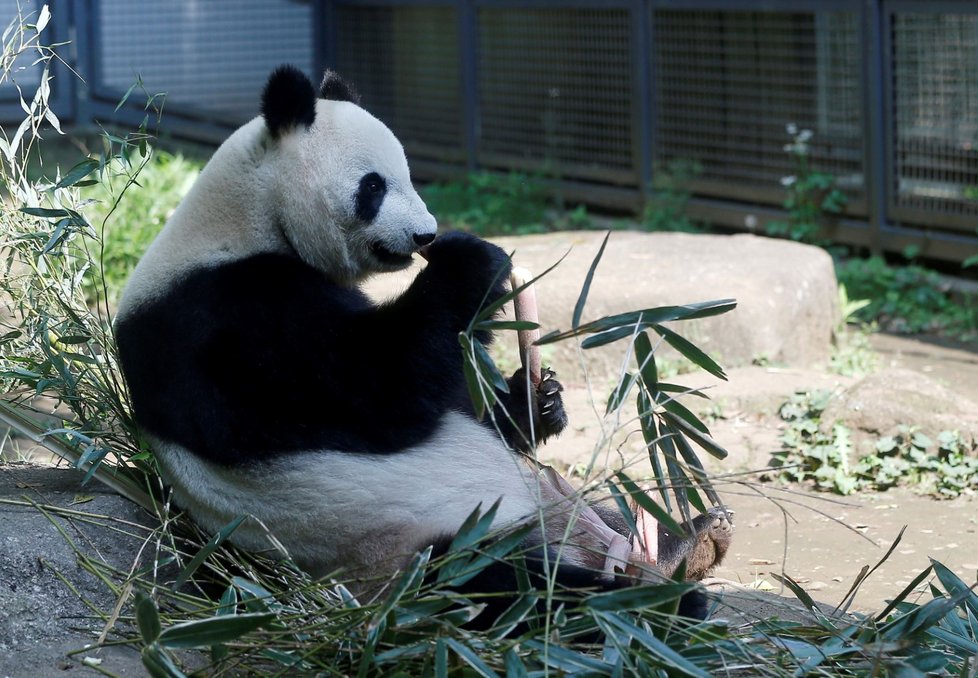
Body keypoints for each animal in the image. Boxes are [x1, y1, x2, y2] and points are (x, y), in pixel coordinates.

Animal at [112, 66, 724, 624]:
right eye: (374, 185)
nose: (426, 234)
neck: (246, 217)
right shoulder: (223, 318)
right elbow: (376, 387)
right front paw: (472, 260)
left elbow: (450, 393)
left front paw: (539, 401)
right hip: (416, 548)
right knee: (508, 591)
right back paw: (657, 603)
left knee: (612, 515)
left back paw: (685, 543)